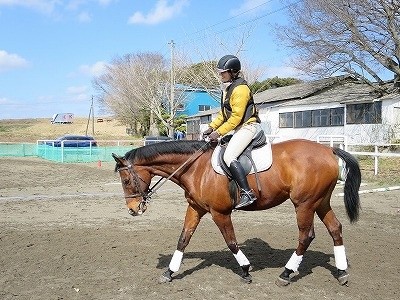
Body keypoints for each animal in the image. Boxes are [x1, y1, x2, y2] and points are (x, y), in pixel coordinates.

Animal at [111, 138, 360, 286]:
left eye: (126, 180)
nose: (133, 210)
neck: (196, 168)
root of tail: (328, 149)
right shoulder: (196, 209)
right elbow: (183, 239)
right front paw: (169, 272)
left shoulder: (220, 212)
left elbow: (231, 241)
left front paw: (246, 269)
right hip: (320, 202)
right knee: (335, 229)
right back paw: (341, 272)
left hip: (304, 204)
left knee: (306, 236)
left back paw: (286, 273)